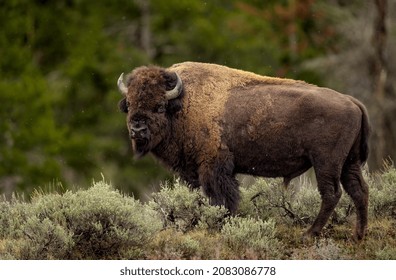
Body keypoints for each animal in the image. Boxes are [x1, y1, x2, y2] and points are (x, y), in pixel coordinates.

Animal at [116, 61, 370, 241]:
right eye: (129, 104)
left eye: (159, 106)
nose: (137, 129)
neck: (183, 104)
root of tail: (352, 101)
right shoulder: (195, 172)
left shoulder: (213, 168)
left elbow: (223, 198)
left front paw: (219, 223)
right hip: (349, 162)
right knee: (359, 191)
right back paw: (358, 235)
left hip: (326, 162)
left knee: (332, 193)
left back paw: (309, 234)